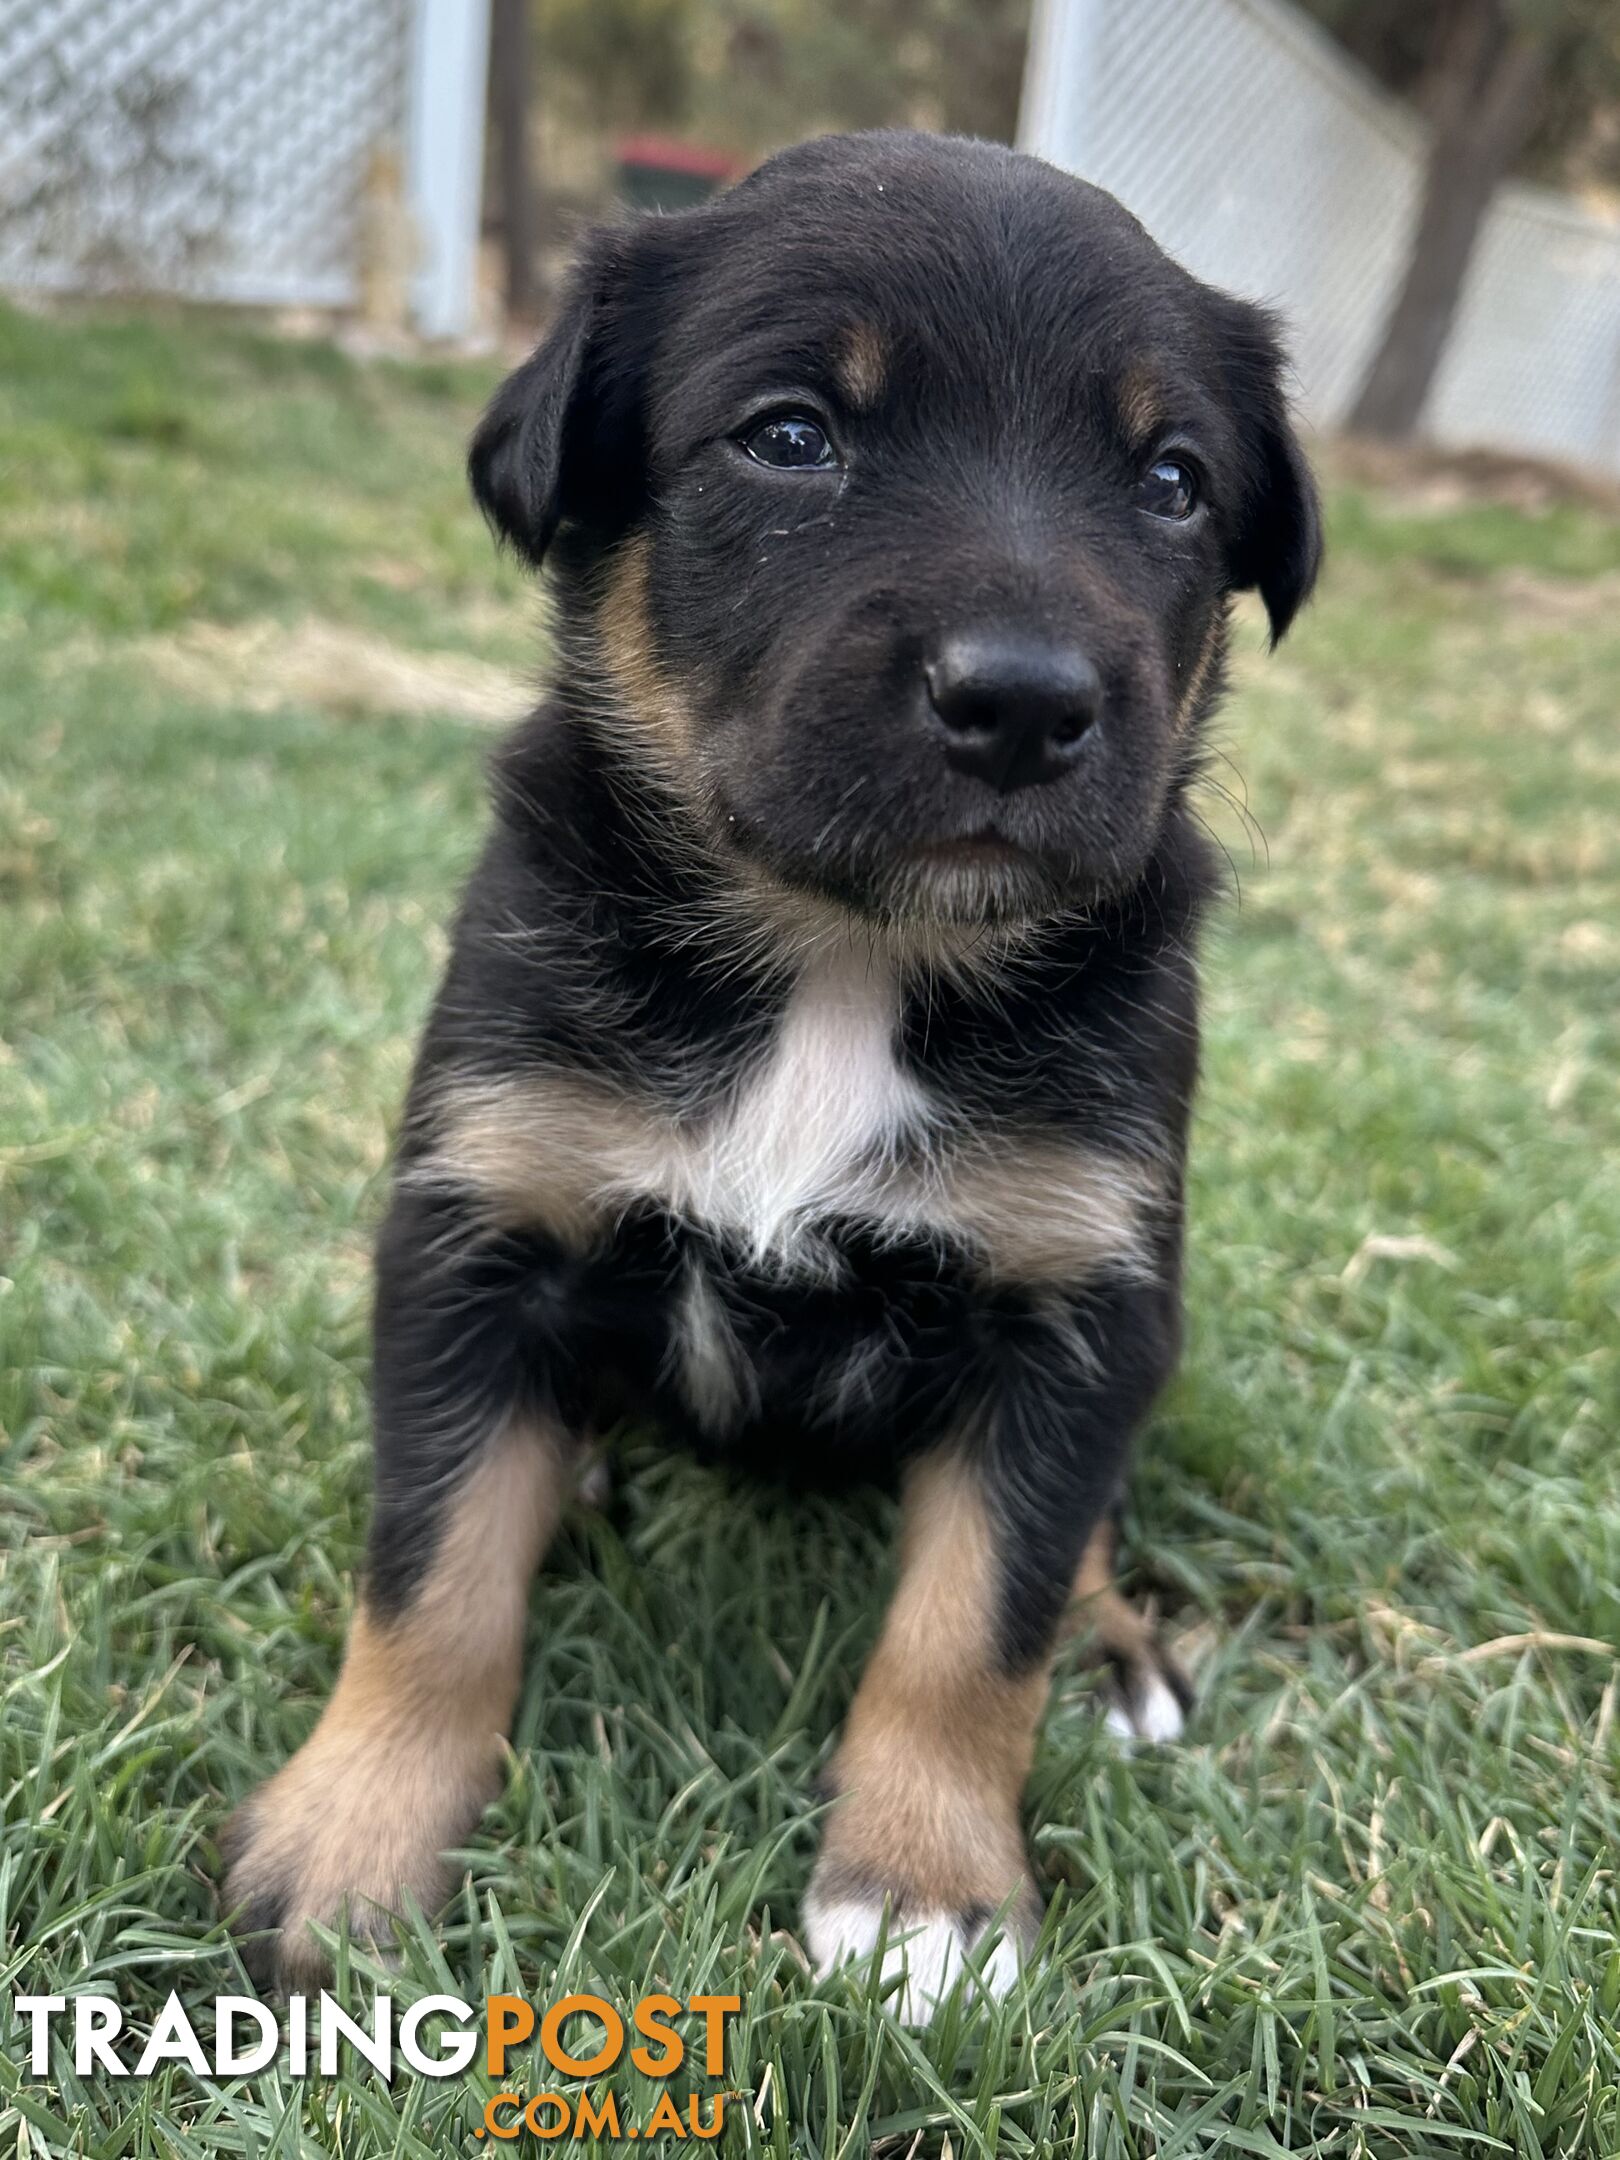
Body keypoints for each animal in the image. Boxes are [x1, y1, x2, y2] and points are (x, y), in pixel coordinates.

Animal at [225, 126, 1321, 2013]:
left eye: (1175, 480)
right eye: (792, 434)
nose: (1022, 703)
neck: (847, 956)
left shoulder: (1075, 1296)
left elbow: (980, 1620)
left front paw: (924, 1892)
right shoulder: (476, 1222)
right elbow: (432, 1576)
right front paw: (346, 1845)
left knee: (1083, 1541)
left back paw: (1115, 1646)